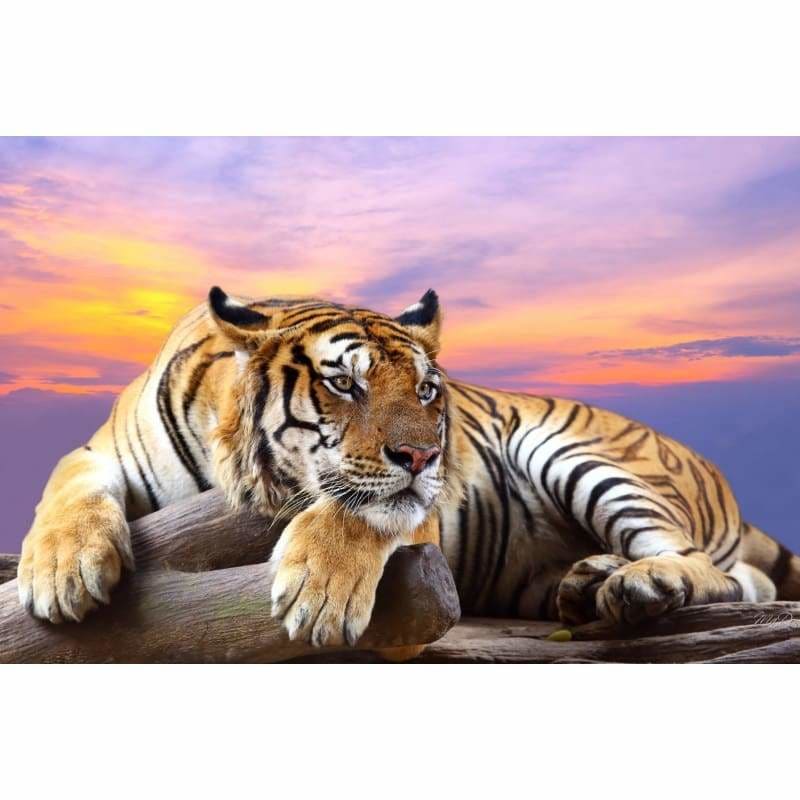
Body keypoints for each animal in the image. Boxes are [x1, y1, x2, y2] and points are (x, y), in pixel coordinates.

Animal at [17, 286, 800, 654]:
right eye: (344, 384)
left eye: (426, 391)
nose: (425, 457)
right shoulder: (100, 452)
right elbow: (64, 488)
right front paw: (62, 574)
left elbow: (358, 510)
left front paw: (320, 596)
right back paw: (587, 584)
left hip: (579, 453)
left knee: (712, 569)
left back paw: (637, 584)